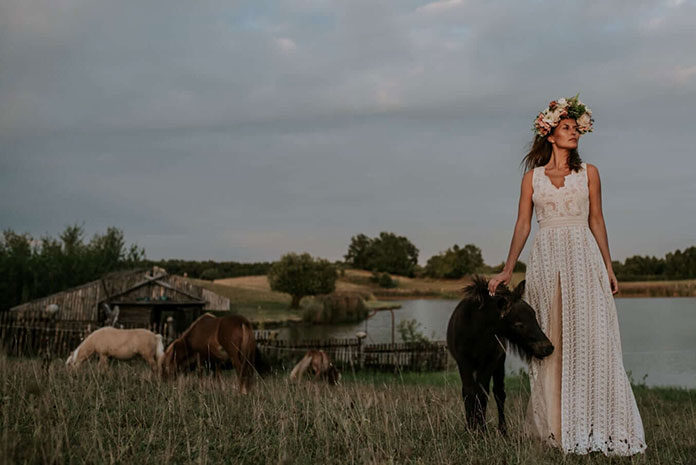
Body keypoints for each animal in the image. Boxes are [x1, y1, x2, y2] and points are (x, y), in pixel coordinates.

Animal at [448, 276, 552, 432]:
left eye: (534, 315)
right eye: (518, 324)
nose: (548, 348)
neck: (475, 331)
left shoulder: (490, 362)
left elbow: (483, 394)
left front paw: (481, 429)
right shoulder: (463, 362)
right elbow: (468, 392)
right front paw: (470, 428)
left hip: (499, 362)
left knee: (499, 393)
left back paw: (502, 430)